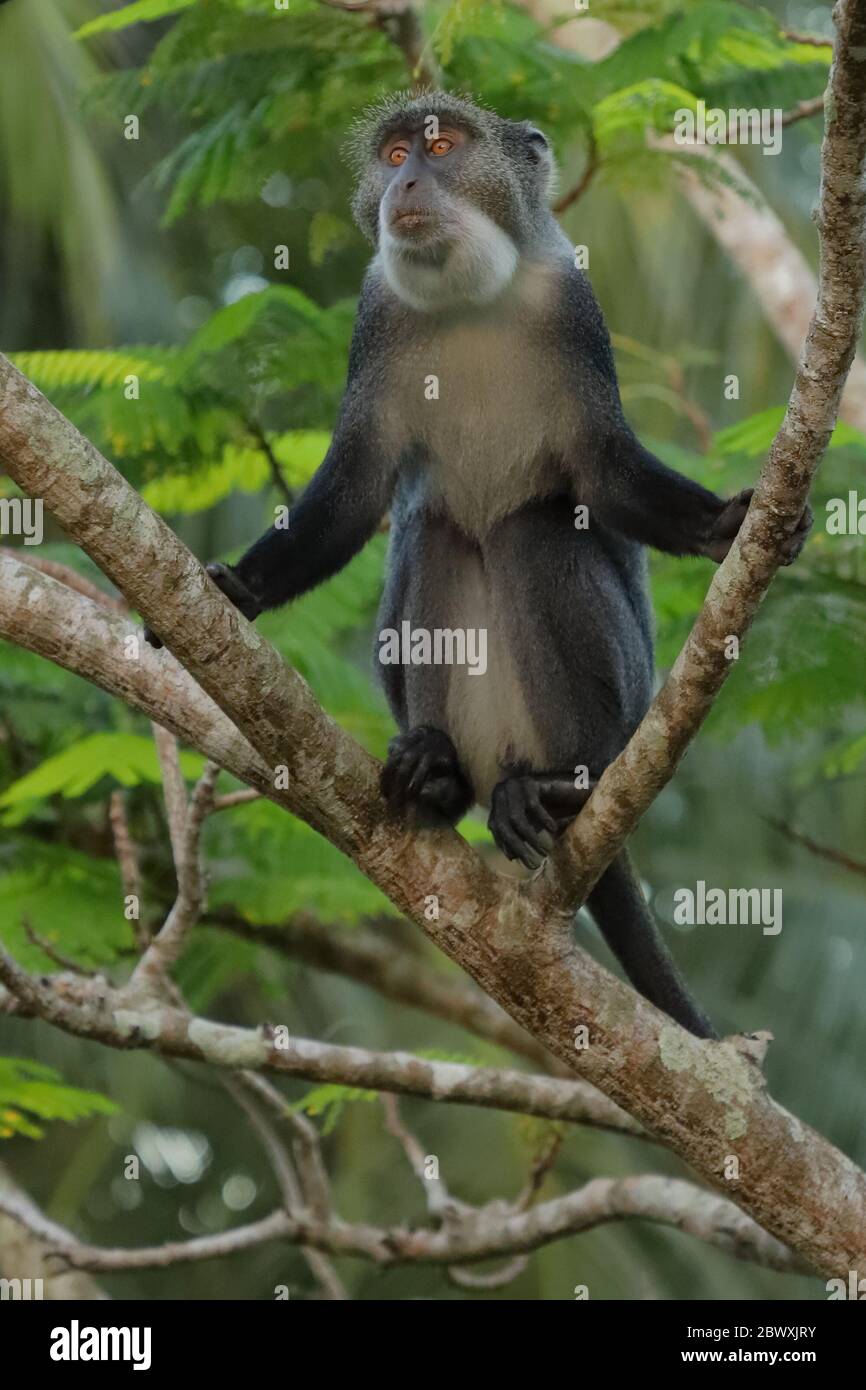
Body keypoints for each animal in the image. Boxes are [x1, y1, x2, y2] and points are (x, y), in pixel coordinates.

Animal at [147, 92, 811, 1039]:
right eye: (394, 154)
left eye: (442, 144)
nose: (407, 184)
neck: (469, 302)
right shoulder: (377, 319)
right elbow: (352, 496)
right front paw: (240, 588)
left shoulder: (574, 309)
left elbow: (603, 476)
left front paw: (728, 523)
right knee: (438, 529)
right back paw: (436, 775)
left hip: (612, 710)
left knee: (531, 529)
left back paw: (562, 789)